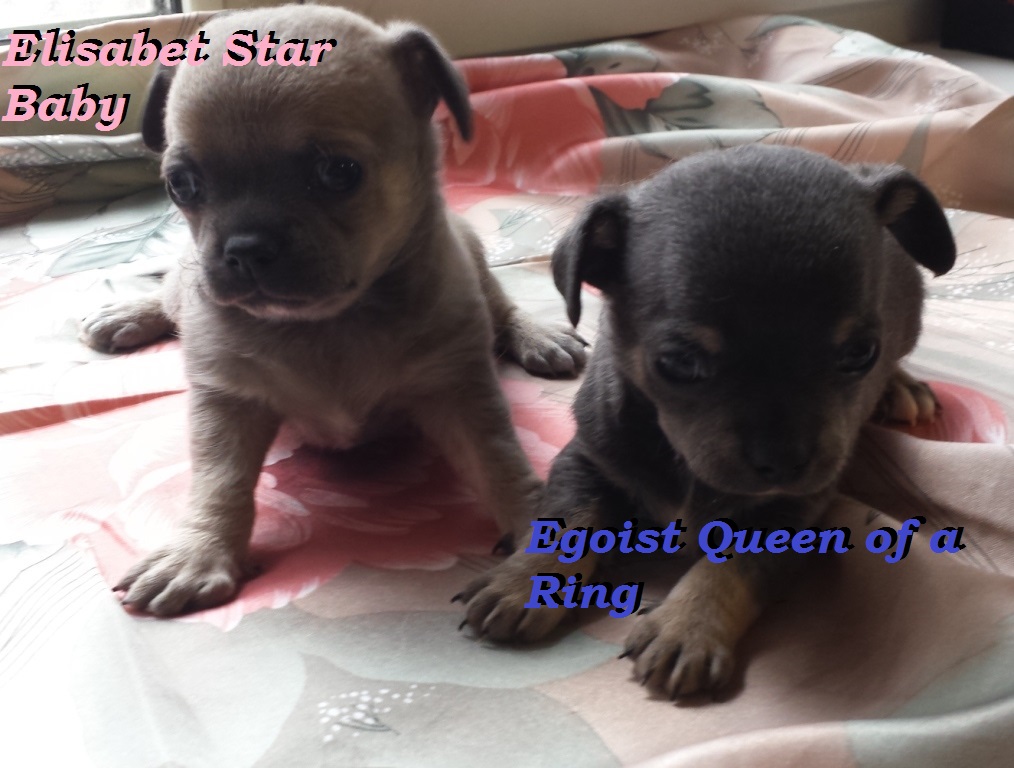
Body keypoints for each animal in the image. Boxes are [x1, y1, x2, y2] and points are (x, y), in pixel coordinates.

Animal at [78, 5, 586, 616]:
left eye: (338, 173)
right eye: (183, 185)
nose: (246, 248)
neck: (325, 325)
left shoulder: (458, 390)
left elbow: (498, 462)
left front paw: (536, 555)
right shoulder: (226, 399)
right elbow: (219, 482)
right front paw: (199, 552)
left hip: (477, 262)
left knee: (503, 309)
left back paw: (539, 337)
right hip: (189, 283)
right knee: (170, 293)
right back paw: (128, 316)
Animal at [457, 144, 956, 699]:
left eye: (860, 354)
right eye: (679, 363)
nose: (785, 462)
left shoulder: (794, 512)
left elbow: (734, 564)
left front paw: (687, 625)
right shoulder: (586, 458)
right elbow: (568, 519)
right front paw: (523, 580)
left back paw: (901, 385)